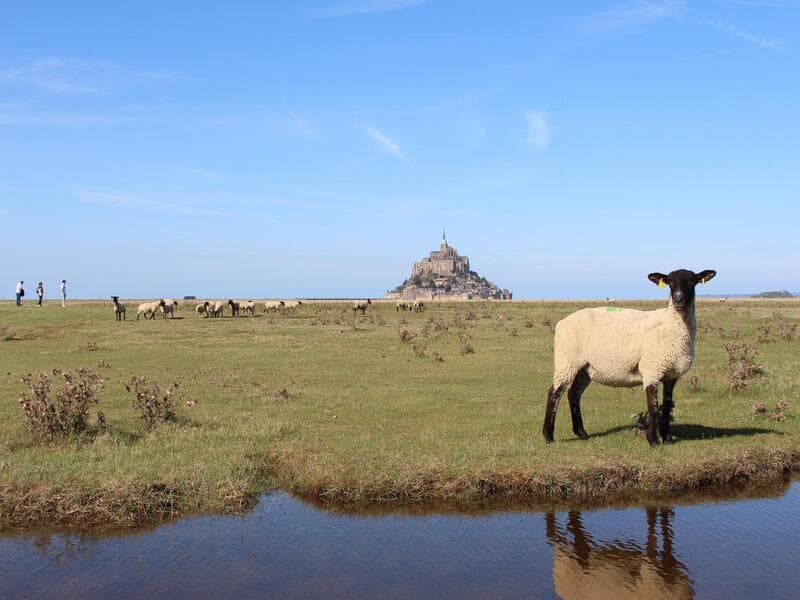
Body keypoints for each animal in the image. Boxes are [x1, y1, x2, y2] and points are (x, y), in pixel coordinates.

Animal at [542, 268, 716, 447]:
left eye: (691, 281)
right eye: (670, 283)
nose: (678, 300)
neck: (670, 326)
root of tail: (561, 322)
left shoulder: (672, 374)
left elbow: (667, 405)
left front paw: (667, 438)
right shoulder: (652, 369)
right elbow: (653, 406)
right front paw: (653, 440)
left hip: (584, 367)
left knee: (574, 393)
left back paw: (582, 433)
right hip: (567, 360)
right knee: (554, 393)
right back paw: (548, 436)